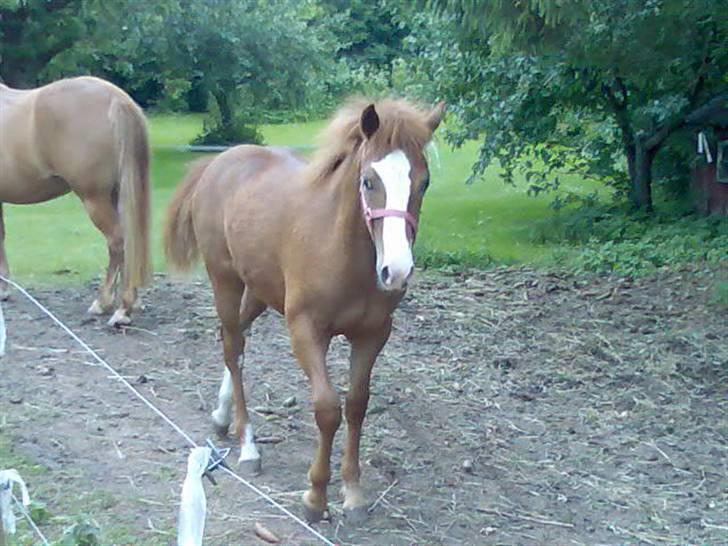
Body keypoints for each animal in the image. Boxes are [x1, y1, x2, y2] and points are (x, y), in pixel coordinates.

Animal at [166, 99, 444, 524]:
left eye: (423, 182)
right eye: (369, 181)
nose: (396, 271)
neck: (341, 251)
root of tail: (218, 163)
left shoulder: (373, 334)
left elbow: (357, 404)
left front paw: (353, 492)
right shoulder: (305, 330)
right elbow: (328, 409)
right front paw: (315, 496)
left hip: (260, 291)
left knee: (237, 339)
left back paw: (221, 415)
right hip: (225, 280)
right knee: (233, 347)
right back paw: (248, 445)